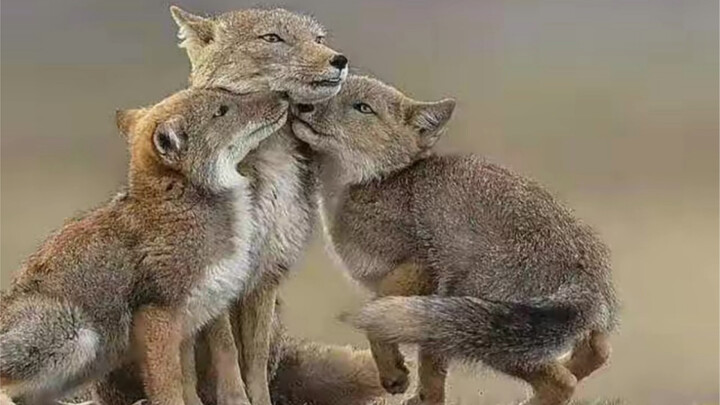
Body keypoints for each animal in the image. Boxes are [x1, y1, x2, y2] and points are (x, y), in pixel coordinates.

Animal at [0, 88, 287, 404]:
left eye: (228, 93)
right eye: (222, 111)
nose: (283, 94)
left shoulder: (187, 326)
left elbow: (188, 384)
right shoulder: (157, 319)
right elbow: (170, 388)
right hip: (77, 334)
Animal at [290, 75, 619, 405]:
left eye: (363, 107)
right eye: (328, 89)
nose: (303, 106)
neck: (373, 182)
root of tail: (584, 273)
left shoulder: (420, 267)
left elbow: (378, 321)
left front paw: (393, 373)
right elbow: (431, 375)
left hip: (482, 331)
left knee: (562, 383)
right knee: (599, 351)